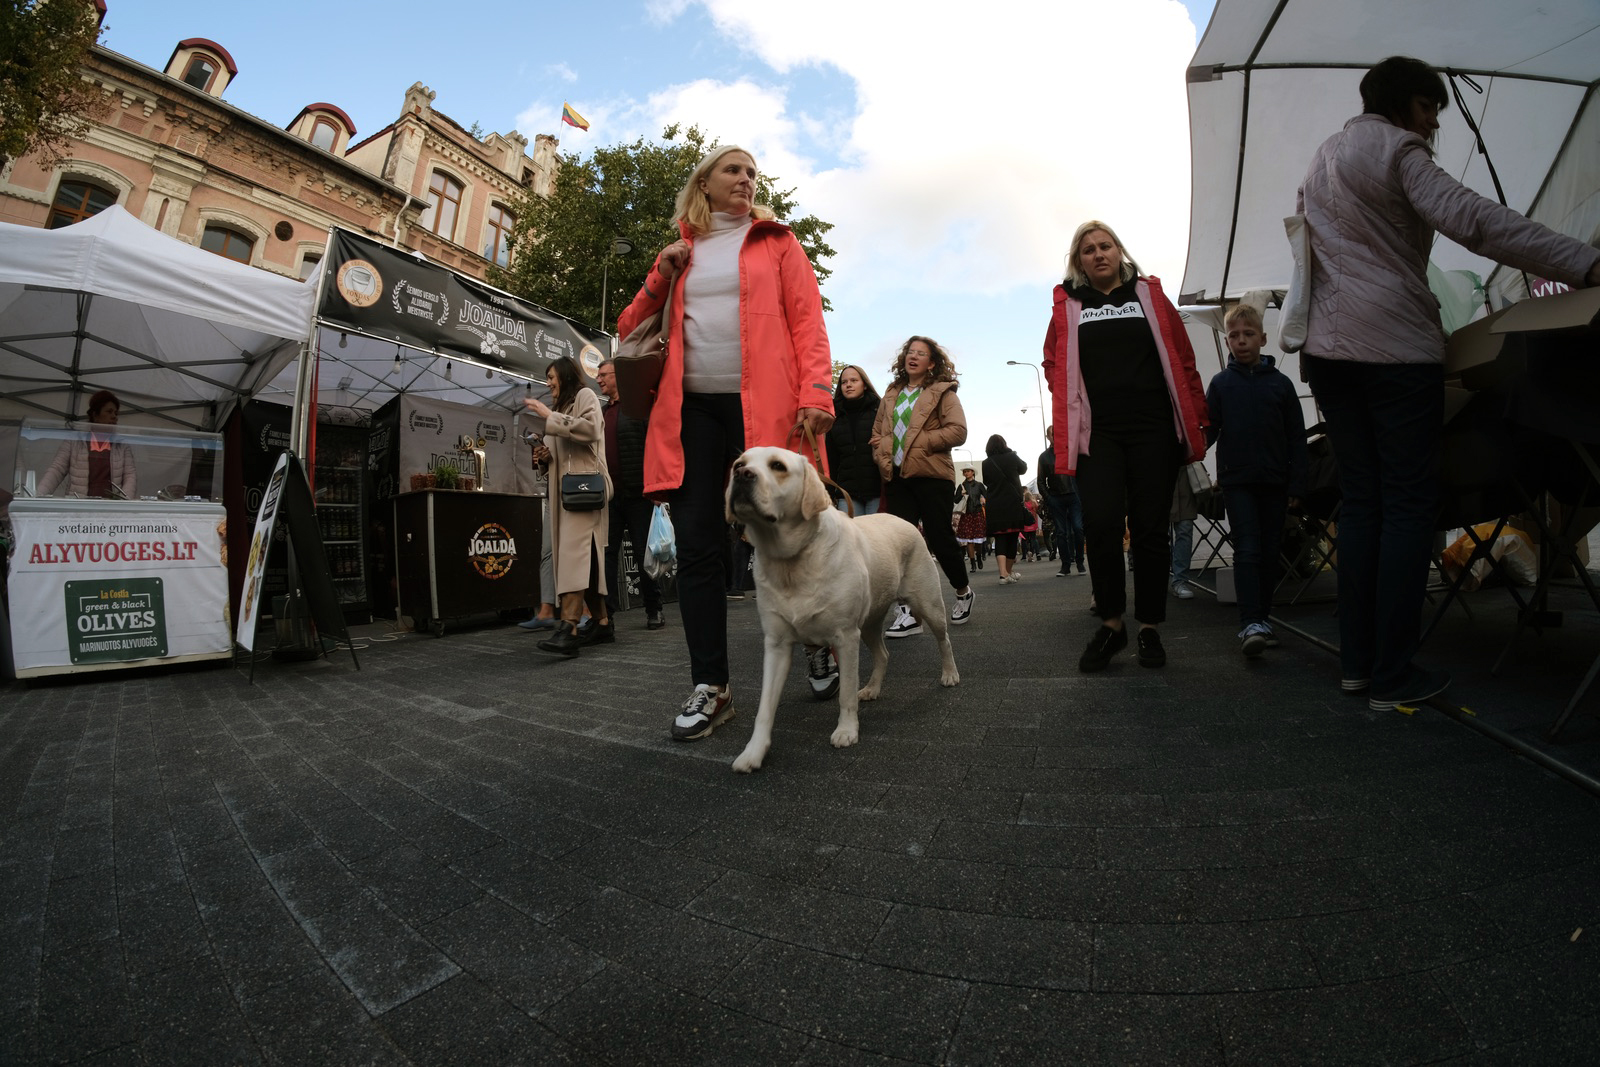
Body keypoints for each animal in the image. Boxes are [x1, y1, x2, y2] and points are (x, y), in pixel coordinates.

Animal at [724, 446, 959, 772]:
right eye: (738, 464)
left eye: (778, 466)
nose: (742, 475)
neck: (791, 562)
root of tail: (904, 520)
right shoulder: (776, 644)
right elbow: (765, 707)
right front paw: (753, 752)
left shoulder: (845, 637)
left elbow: (846, 691)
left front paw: (846, 731)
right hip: (870, 623)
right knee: (883, 654)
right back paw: (872, 689)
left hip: (928, 603)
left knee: (943, 640)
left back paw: (950, 675)